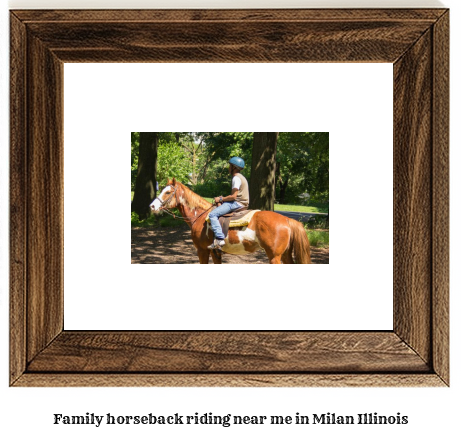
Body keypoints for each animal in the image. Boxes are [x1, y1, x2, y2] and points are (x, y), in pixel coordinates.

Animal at [149, 178, 310, 266]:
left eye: (168, 192)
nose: (152, 206)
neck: (200, 216)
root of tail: (287, 220)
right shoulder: (215, 251)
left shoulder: (202, 250)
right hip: (285, 254)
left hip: (274, 256)